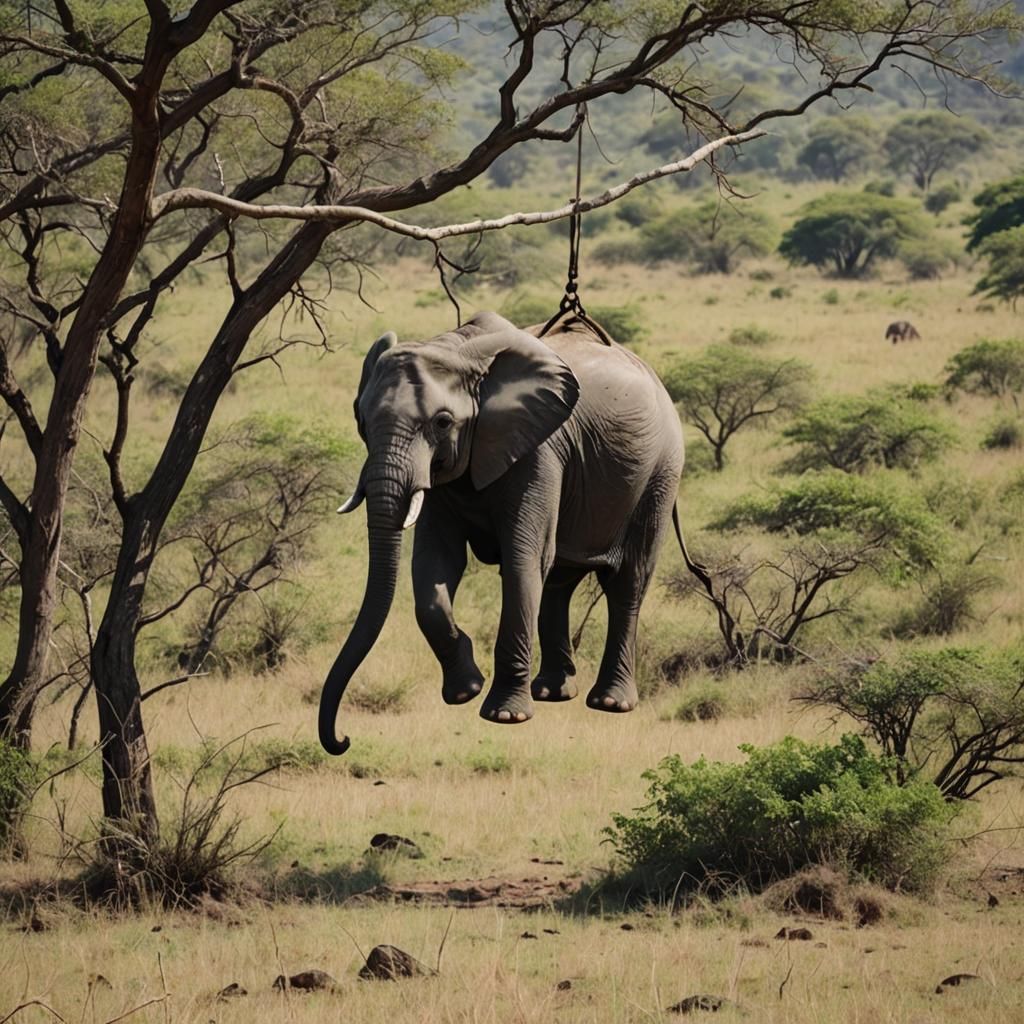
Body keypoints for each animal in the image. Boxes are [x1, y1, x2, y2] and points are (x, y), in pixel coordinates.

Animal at [318, 311, 684, 755]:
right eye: (361, 421)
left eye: (442, 422)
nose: (342, 739)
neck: (459, 349)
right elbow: (435, 564)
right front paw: (465, 690)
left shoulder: (540, 449)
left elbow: (522, 558)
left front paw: (505, 716)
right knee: (558, 580)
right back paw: (552, 693)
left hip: (661, 473)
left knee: (627, 581)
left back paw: (610, 703)